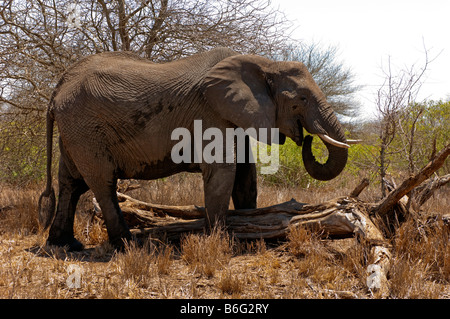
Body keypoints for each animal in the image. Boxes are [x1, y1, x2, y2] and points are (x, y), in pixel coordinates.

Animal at [38, 47, 352, 252]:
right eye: (301, 99)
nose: (307, 138)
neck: (264, 64)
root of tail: (58, 88)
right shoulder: (211, 111)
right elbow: (223, 171)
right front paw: (220, 242)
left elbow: (245, 177)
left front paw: (251, 227)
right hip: (84, 127)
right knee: (102, 183)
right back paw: (128, 245)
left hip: (75, 129)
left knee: (70, 183)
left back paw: (65, 244)